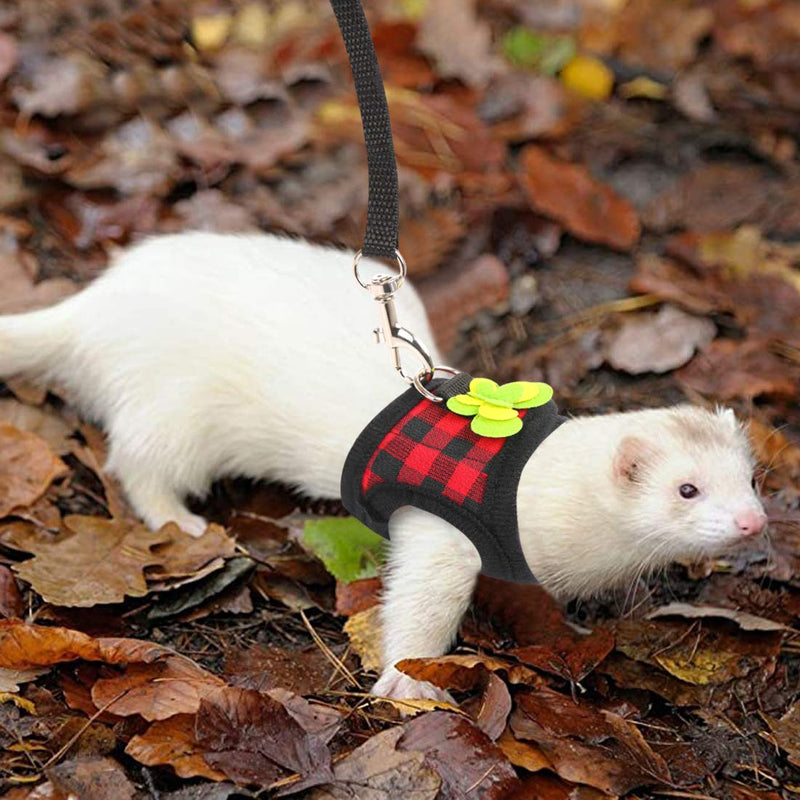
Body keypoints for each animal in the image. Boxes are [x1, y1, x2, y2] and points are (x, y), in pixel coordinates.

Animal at [0, 232, 766, 701]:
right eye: (687, 488)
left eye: (752, 477)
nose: (754, 522)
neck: (528, 486)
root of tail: (96, 303)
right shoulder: (440, 533)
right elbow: (418, 604)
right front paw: (410, 683)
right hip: (171, 413)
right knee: (137, 462)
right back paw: (179, 522)